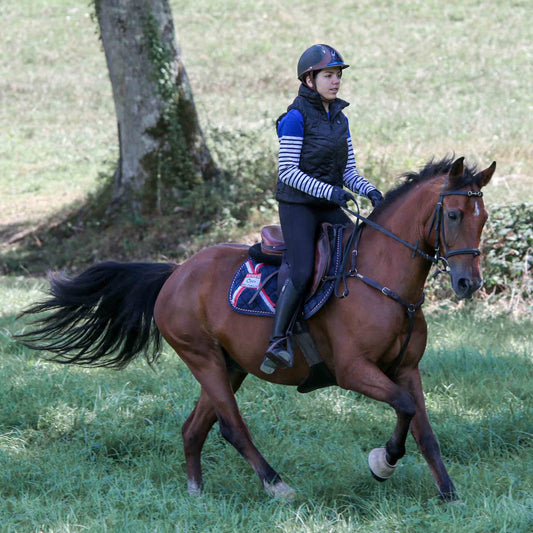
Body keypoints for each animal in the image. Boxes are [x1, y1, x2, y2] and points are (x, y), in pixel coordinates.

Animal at [17, 156, 498, 500]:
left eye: (484, 217)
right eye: (454, 215)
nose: (468, 283)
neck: (382, 281)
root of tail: (176, 272)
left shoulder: (406, 369)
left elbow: (423, 428)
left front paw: (448, 494)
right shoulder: (354, 371)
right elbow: (404, 407)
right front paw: (384, 461)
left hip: (231, 366)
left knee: (194, 428)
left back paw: (196, 494)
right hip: (203, 358)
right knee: (232, 428)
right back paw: (276, 485)